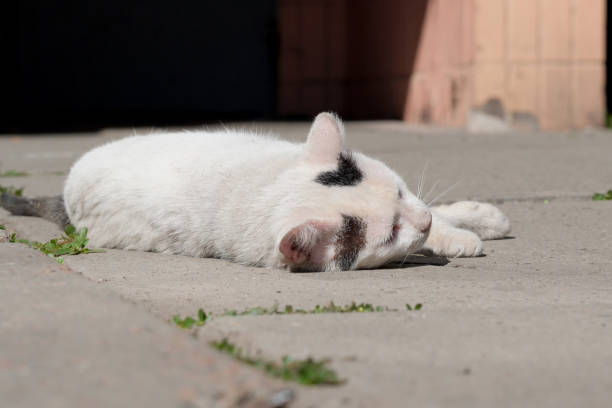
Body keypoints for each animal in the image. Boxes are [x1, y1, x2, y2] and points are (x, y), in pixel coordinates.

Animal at [0, 111, 510, 270]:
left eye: (401, 192)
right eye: (389, 235)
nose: (420, 221)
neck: (258, 186)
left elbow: (440, 209)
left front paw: (469, 219)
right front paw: (452, 238)